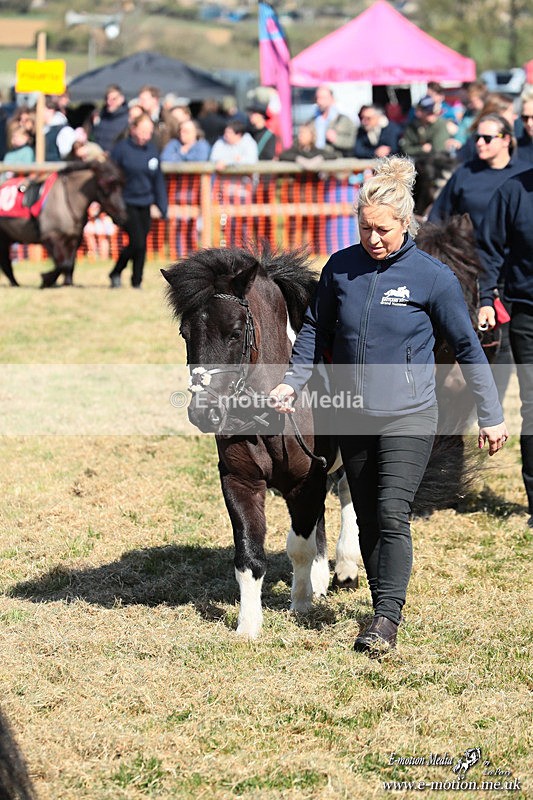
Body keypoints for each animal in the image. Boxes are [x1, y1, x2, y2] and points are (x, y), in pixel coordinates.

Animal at [0, 159, 126, 288]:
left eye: (121, 186)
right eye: (104, 186)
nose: (123, 216)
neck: (65, 202)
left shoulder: (74, 239)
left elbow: (69, 263)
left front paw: (67, 283)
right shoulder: (51, 237)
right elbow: (62, 264)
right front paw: (47, 279)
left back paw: (15, 283)